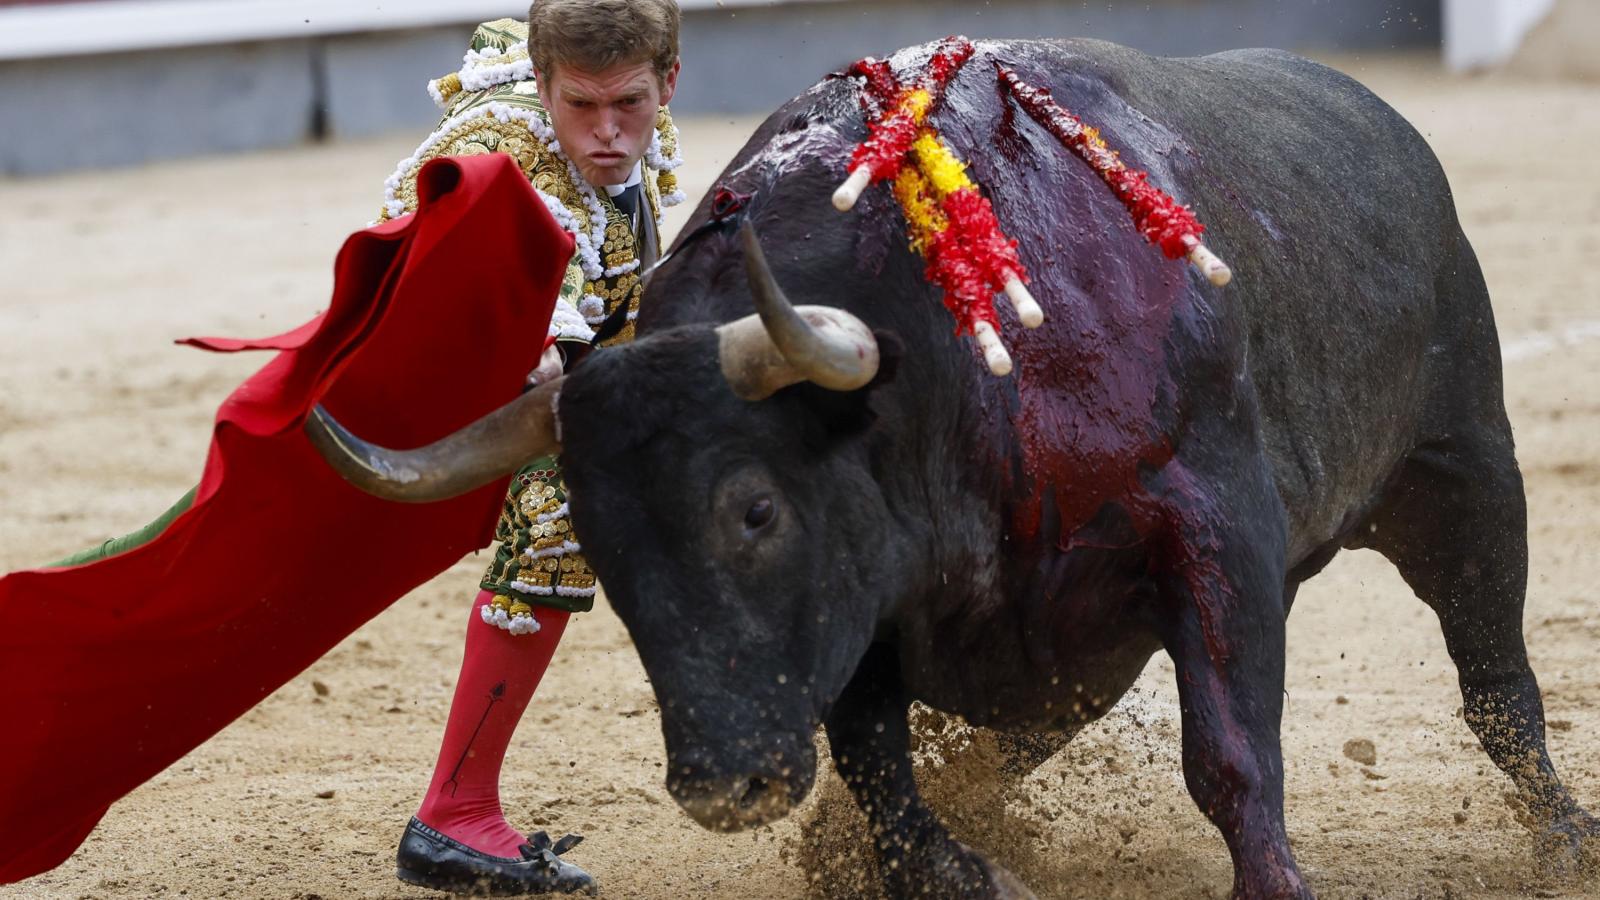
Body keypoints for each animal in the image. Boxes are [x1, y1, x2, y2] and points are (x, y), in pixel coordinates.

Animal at [305, 38, 1593, 890]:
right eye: (609, 552)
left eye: (755, 511)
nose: (722, 784)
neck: (949, 363)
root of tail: (1375, 116)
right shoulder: (881, 588)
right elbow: (877, 760)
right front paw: (951, 868)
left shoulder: (1212, 534)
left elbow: (1231, 757)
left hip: (1463, 474)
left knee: (1497, 680)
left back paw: (1564, 836)